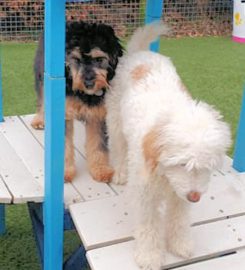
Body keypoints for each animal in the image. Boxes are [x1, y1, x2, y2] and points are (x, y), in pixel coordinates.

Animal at [31, 21, 123, 181]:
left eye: (99, 59)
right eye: (76, 60)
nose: (88, 82)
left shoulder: (98, 114)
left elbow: (98, 143)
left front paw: (100, 169)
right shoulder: (63, 113)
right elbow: (64, 145)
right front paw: (64, 172)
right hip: (41, 74)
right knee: (42, 98)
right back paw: (39, 120)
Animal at [106, 23, 232, 270]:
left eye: (206, 167)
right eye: (182, 164)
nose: (195, 197)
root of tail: (142, 53)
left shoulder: (180, 194)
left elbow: (179, 218)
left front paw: (180, 244)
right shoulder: (145, 194)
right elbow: (149, 225)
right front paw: (149, 256)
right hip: (115, 120)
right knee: (118, 147)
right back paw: (121, 172)